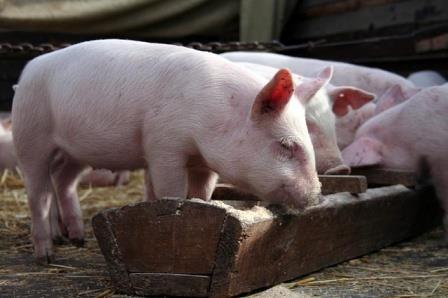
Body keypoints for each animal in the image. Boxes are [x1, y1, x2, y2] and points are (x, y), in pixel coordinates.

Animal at [12, 39, 324, 264]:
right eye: (286, 145)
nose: (316, 196)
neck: (213, 117)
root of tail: (27, 71)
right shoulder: (162, 145)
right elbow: (171, 190)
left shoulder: (204, 162)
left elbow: (202, 193)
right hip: (30, 136)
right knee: (38, 194)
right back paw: (46, 256)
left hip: (74, 152)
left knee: (62, 180)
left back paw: (75, 239)